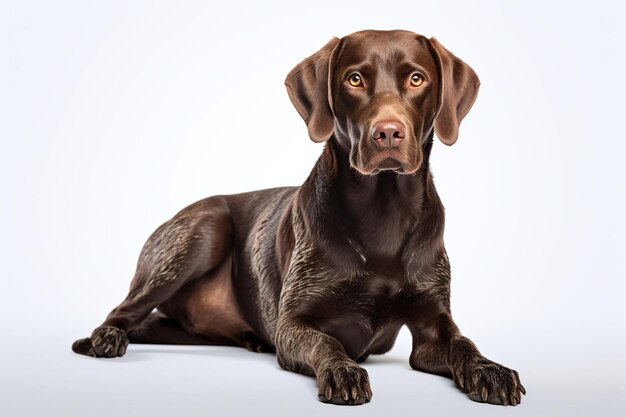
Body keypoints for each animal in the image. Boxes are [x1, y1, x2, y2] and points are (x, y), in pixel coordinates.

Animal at [72, 29, 520, 406]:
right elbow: (327, 343)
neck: (384, 211)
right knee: (124, 309)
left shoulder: (432, 325)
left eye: (416, 79)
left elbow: (464, 343)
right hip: (203, 230)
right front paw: (342, 371)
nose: (388, 133)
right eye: (354, 80)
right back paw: (106, 337)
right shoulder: (293, 324)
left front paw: (490, 370)